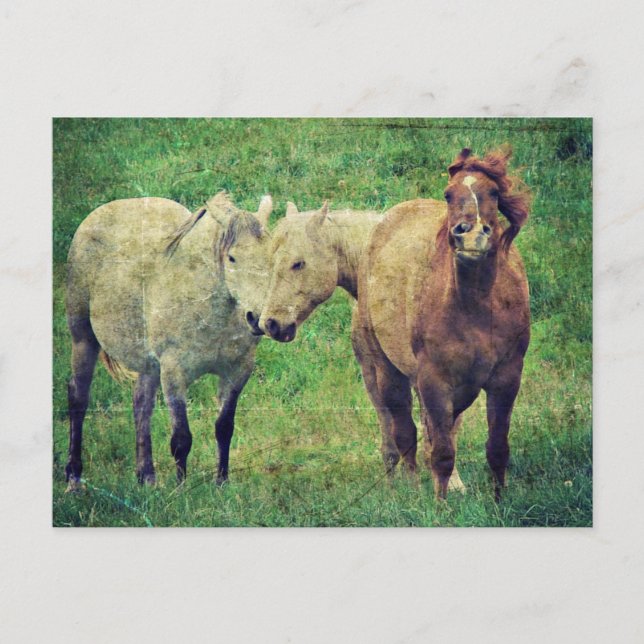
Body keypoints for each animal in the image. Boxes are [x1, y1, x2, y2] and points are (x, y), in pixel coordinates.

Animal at [65, 191, 272, 490]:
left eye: (270, 256)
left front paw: (221, 483)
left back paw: (146, 476)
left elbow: (224, 428)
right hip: (83, 338)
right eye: (232, 258)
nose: (258, 318)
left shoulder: (237, 371)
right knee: (78, 397)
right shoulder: (174, 372)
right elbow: (181, 438)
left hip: (148, 364)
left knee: (141, 404)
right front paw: (181, 489)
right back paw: (73, 477)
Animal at [354, 147, 530, 500]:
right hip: (387, 372)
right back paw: (410, 489)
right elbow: (442, 452)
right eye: (449, 194)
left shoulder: (506, 377)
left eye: (494, 192)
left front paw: (499, 500)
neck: (476, 308)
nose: (471, 235)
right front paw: (440, 504)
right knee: (405, 434)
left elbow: (497, 447)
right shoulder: (435, 381)